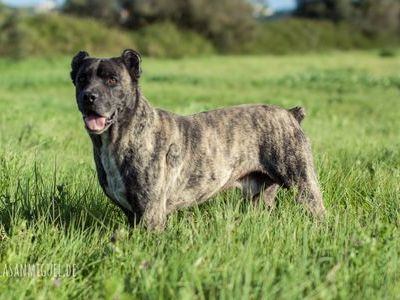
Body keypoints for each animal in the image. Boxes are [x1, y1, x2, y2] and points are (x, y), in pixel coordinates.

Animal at [70, 50, 326, 231]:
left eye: (112, 80)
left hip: (303, 183)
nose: (89, 96)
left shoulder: (151, 213)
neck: (116, 138)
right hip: (260, 196)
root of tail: (290, 114)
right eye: (82, 79)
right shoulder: (132, 213)